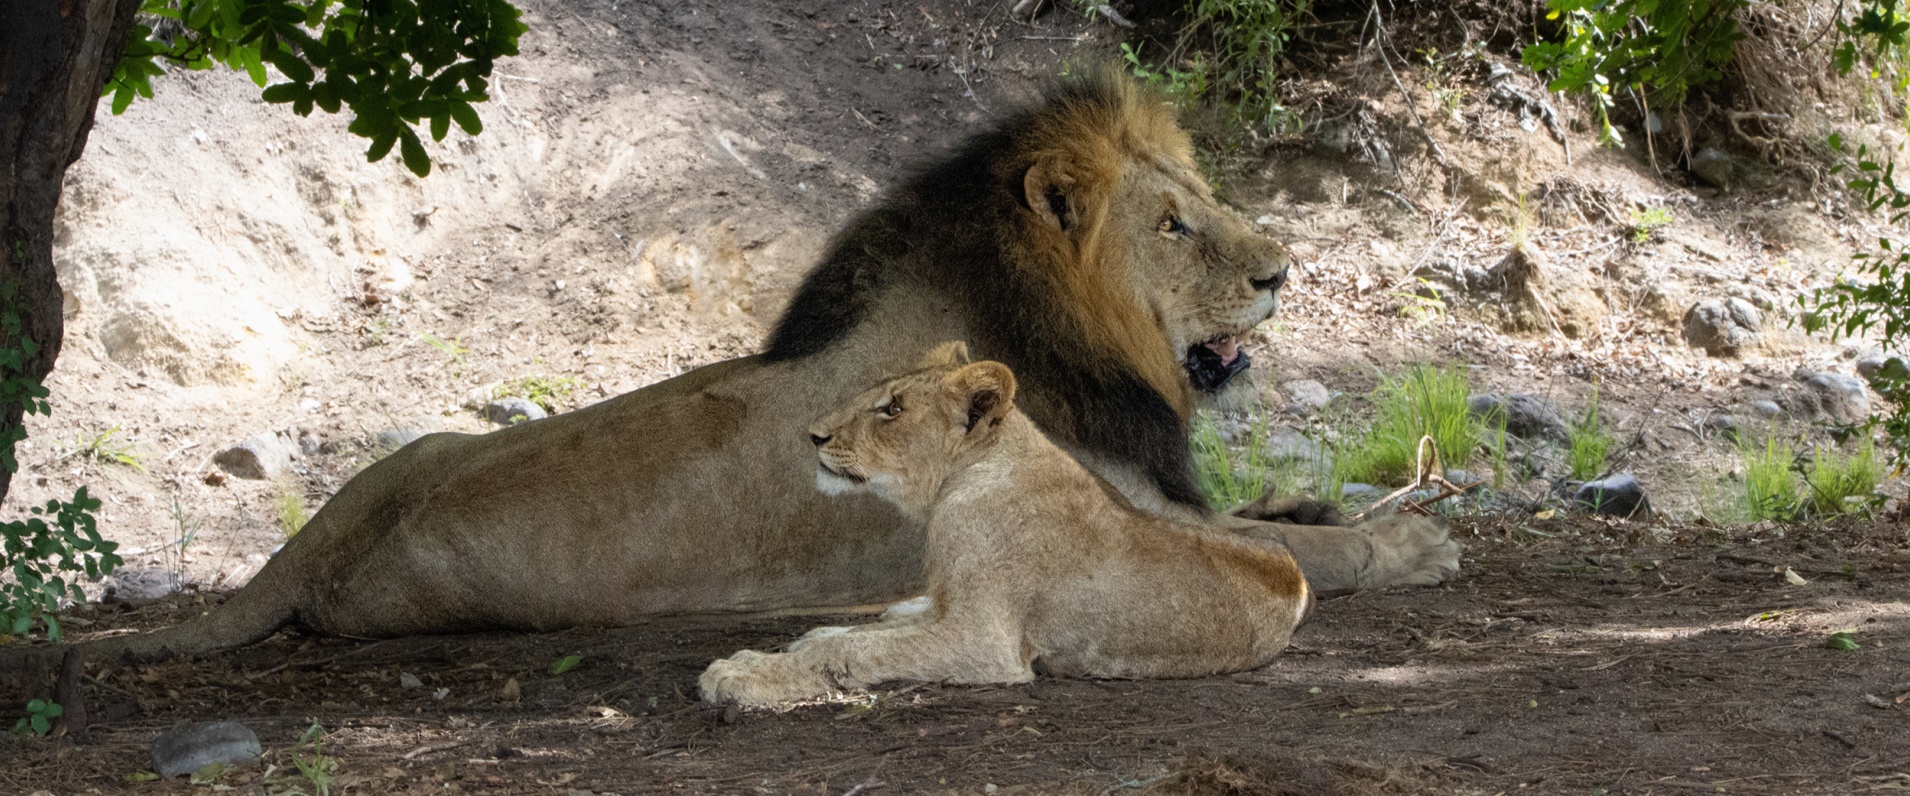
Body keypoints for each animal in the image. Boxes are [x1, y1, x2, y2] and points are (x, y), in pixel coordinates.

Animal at [33, 69, 1457, 664]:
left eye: (1201, 200)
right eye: (1172, 226)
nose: (1281, 270)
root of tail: (314, 551)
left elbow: (1287, 512)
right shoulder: (1122, 518)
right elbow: (1304, 551)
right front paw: (1410, 543)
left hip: (413, 445)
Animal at [701, 348, 1329, 707]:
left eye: (893, 409)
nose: (814, 436)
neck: (955, 486)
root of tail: (1298, 577)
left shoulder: (983, 642)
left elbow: (855, 652)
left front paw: (741, 674)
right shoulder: (956, 610)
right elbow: (856, 637)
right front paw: (793, 644)